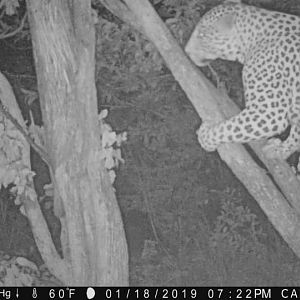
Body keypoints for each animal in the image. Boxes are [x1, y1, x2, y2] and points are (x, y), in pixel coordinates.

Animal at [184, 0, 300, 159]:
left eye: (202, 34)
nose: (186, 50)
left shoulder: (267, 113)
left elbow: (227, 129)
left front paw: (206, 137)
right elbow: (296, 135)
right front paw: (280, 151)